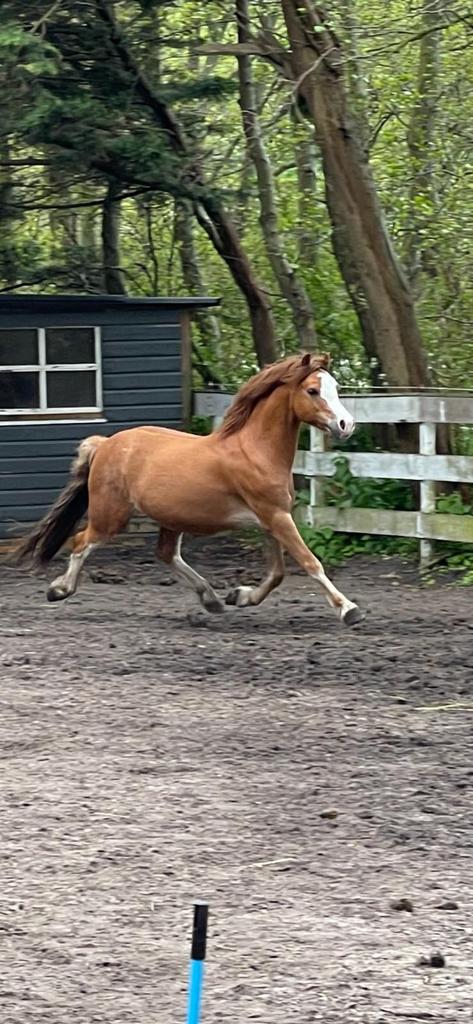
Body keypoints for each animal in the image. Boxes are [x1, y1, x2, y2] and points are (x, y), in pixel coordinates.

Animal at [13, 352, 364, 626]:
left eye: (335, 388)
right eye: (313, 390)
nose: (346, 425)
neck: (254, 451)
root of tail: (105, 444)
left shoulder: (271, 519)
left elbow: (277, 572)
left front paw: (240, 596)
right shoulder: (275, 517)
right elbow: (310, 562)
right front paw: (349, 610)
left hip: (169, 518)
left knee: (165, 554)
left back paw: (211, 599)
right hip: (110, 516)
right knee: (80, 542)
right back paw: (59, 590)